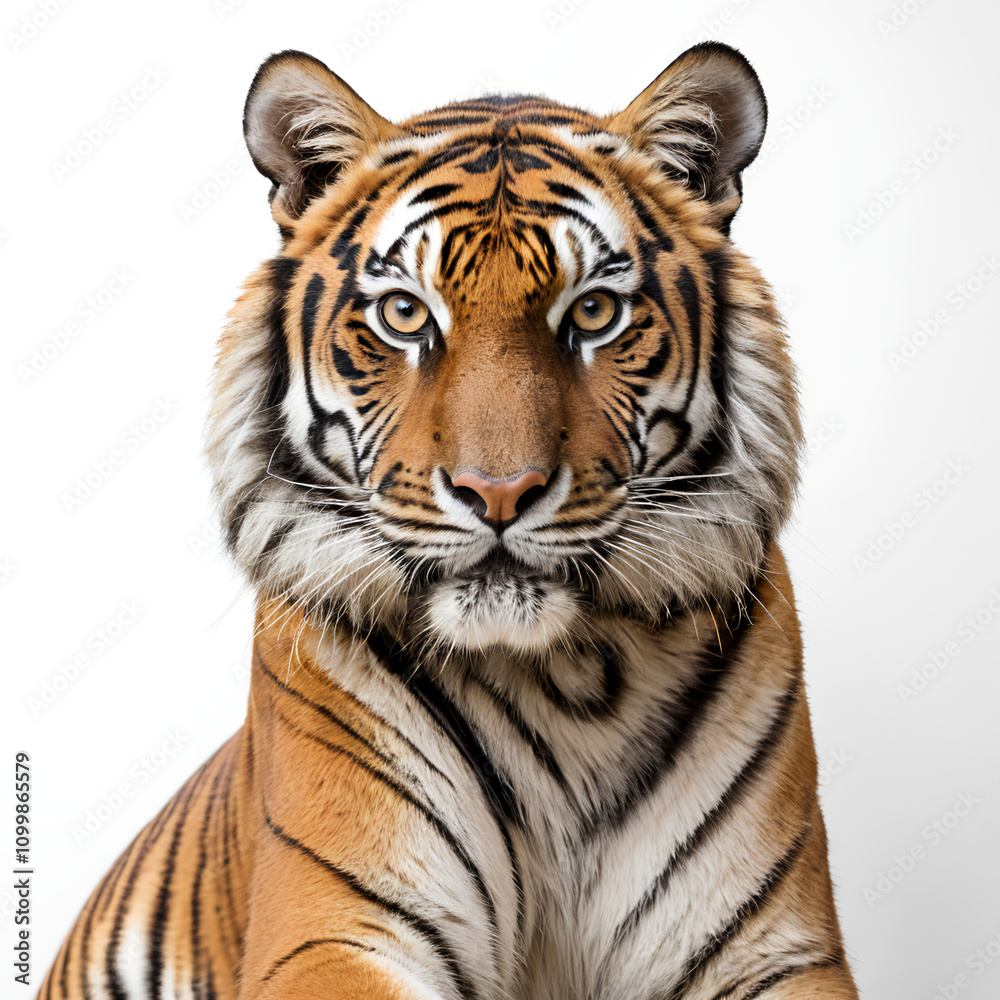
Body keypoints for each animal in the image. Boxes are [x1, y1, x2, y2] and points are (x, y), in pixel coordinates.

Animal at [38, 40, 859, 1000]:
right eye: (404, 314)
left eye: (593, 311)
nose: (499, 492)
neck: (566, 681)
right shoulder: (330, 932)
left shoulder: (778, 949)